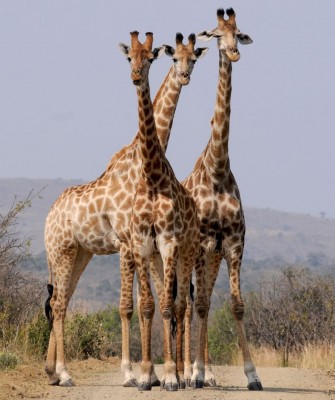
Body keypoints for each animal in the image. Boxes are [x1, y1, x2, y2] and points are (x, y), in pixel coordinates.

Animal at [43, 34, 209, 388]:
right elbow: (127, 306)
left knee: (61, 300)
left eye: (193, 59)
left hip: (80, 253)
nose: (184, 76)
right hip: (61, 250)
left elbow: (147, 303)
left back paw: (52, 370)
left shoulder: (140, 244)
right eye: (175, 59)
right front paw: (132, 373)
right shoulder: (125, 241)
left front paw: (153, 375)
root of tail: (48, 216)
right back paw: (63, 373)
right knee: (59, 302)